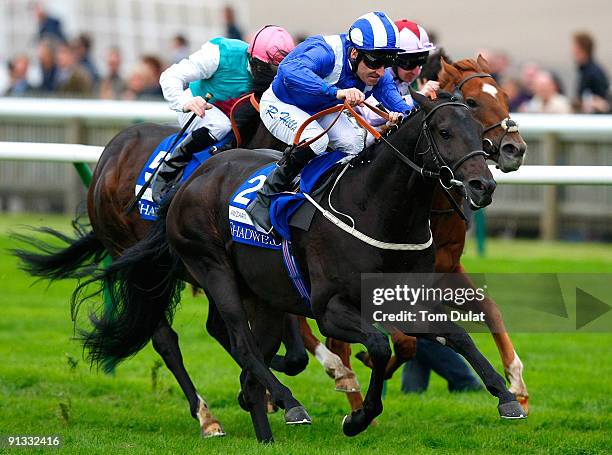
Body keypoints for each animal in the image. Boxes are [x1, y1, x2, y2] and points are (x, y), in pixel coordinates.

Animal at [76, 91, 524, 444]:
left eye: (476, 131)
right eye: (445, 132)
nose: (484, 185)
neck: (375, 209)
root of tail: (192, 177)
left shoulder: (406, 298)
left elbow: (456, 334)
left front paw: (507, 396)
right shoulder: (329, 309)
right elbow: (378, 346)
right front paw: (357, 416)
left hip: (260, 294)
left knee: (247, 351)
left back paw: (263, 424)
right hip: (209, 268)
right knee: (223, 342)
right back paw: (269, 405)